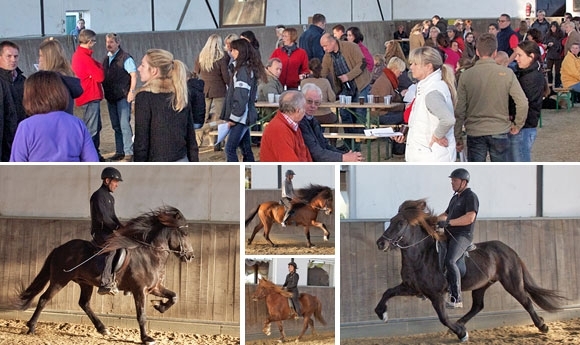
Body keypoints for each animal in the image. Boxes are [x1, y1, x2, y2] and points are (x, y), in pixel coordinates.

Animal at [13, 206, 195, 342]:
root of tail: (60, 247)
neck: (150, 254)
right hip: (60, 279)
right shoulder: (140, 290)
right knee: (44, 299)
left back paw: (103, 329)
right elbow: (141, 315)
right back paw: (31, 327)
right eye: (184, 234)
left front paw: (160, 306)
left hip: (85, 283)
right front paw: (146, 338)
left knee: (84, 303)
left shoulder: (155, 287)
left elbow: (174, 296)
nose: (191, 256)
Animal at [374, 199, 564, 342]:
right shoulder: (411, 287)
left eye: (400, 223)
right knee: (478, 306)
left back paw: (542, 326)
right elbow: (387, 292)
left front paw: (462, 334)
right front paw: (382, 313)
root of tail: (509, 250)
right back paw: (460, 324)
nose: (380, 243)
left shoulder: (436, 294)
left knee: (526, 301)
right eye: (391, 220)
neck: (422, 255)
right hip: (481, 285)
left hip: (512, 282)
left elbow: (443, 318)